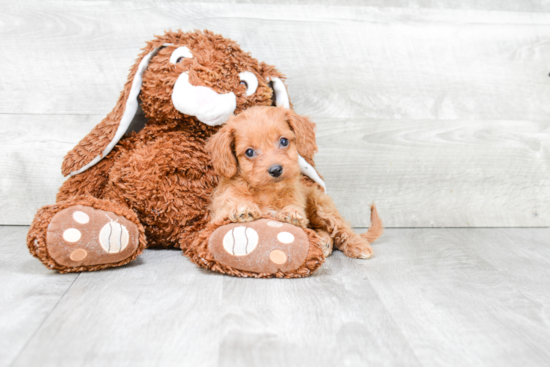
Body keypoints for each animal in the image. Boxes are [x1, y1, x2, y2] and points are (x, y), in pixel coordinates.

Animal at [207, 106, 384, 258]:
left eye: (284, 141)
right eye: (249, 152)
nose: (276, 169)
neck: (267, 192)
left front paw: (291, 212)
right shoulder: (218, 215)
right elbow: (232, 205)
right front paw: (242, 207)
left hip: (321, 205)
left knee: (341, 228)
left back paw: (356, 244)